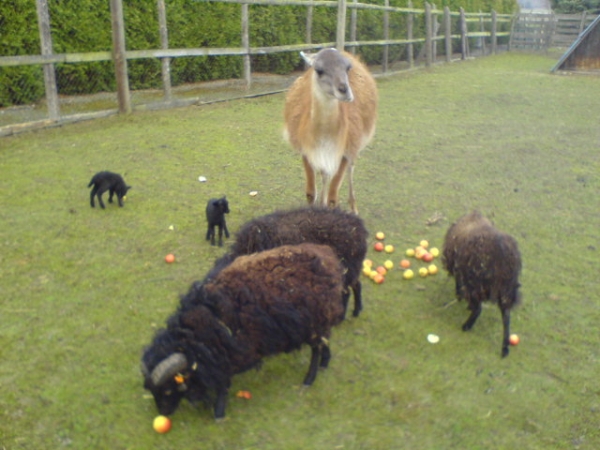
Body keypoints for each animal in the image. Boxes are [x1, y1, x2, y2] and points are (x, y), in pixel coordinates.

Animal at [141, 243, 345, 420]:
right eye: (150, 390)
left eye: (168, 389)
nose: (163, 412)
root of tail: (330, 258)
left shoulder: (229, 357)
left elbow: (222, 385)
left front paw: (219, 414)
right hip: (322, 321)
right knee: (325, 341)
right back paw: (325, 362)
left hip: (314, 324)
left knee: (316, 349)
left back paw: (309, 379)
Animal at [211, 206, 368, 318]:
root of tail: (359, 228)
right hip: (352, 268)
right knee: (356, 285)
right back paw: (357, 310)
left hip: (346, 268)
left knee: (347, 291)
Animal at [283, 48, 378, 214]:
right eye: (319, 70)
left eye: (348, 68)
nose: (345, 91)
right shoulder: (307, 150)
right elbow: (310, 193)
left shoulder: (345, 149)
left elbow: (333, 198)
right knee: (325, 173)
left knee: (351, 167)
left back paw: (353, 206)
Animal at [442, 211, 522, 357]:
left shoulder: (460, 272)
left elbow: (459, 285)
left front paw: (460, 297)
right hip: (506, 288)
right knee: (506, 315)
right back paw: (505, 347)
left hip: (477, 283)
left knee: (479, 308)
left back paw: (466, 326)